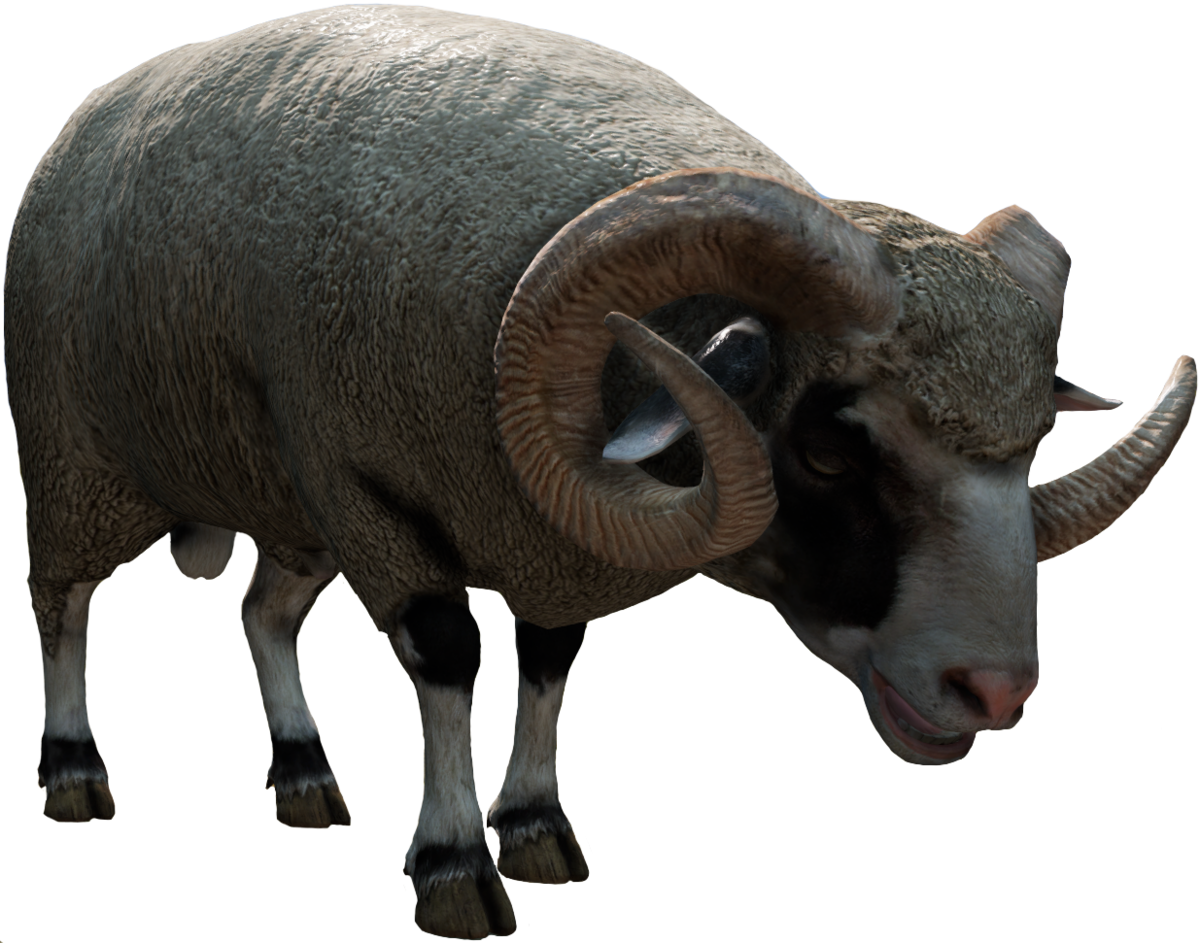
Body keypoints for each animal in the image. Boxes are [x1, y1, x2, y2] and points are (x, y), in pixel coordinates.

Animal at [5, 4, 1194, 939]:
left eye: (1032, 446)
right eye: (826, 447)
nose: (995, 692)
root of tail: (89, 113)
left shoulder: (526, 532)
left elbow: (548, 660)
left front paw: (537, 830)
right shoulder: (371, 491)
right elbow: (448, 655)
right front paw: (454, 868)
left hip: (285, 498)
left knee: (261, 609)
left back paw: (303, 774)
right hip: (79, 464)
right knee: (61, 602)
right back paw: (74, 773)